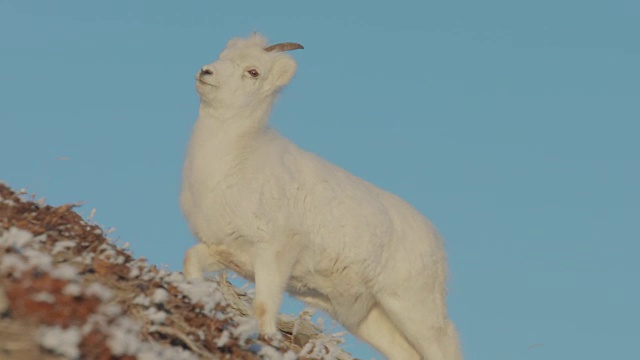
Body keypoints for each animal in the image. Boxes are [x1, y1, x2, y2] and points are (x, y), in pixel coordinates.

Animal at [179, 33, 460, 360]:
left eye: (253, 72)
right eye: (223, 55)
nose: (206, 72)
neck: (233, 161)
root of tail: (436, 243)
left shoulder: (274, 254)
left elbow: (263, 309)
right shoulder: (226, 251)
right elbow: (191, 262)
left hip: (414, 309)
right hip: (370, 319)